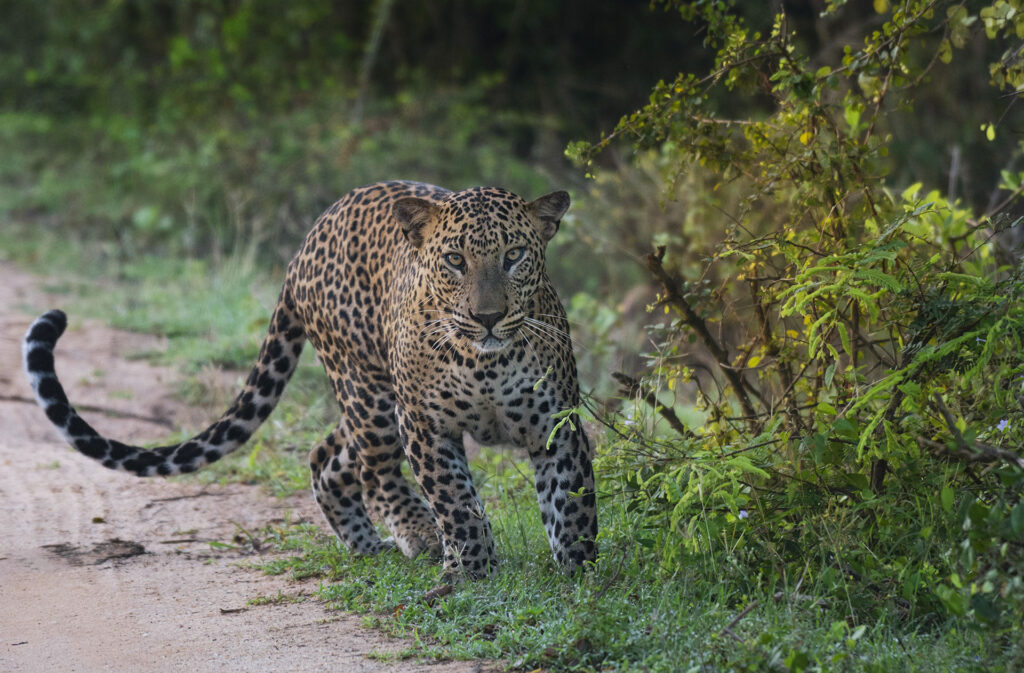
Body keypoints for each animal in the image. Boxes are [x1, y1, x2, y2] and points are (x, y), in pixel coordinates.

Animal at [22, 178, 598, 577]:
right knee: (374, 472)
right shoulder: (427, 427)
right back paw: (419, 535)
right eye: (455, 260)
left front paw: (580, 578)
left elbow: (571, 503)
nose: (488, 317)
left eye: (514, 256)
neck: (485, 361)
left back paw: (369, 546)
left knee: (327, 457)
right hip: (371, 393)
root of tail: (304, 243)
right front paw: (473, 572)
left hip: (373, 405)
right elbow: (457, 504)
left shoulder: (557, 425)